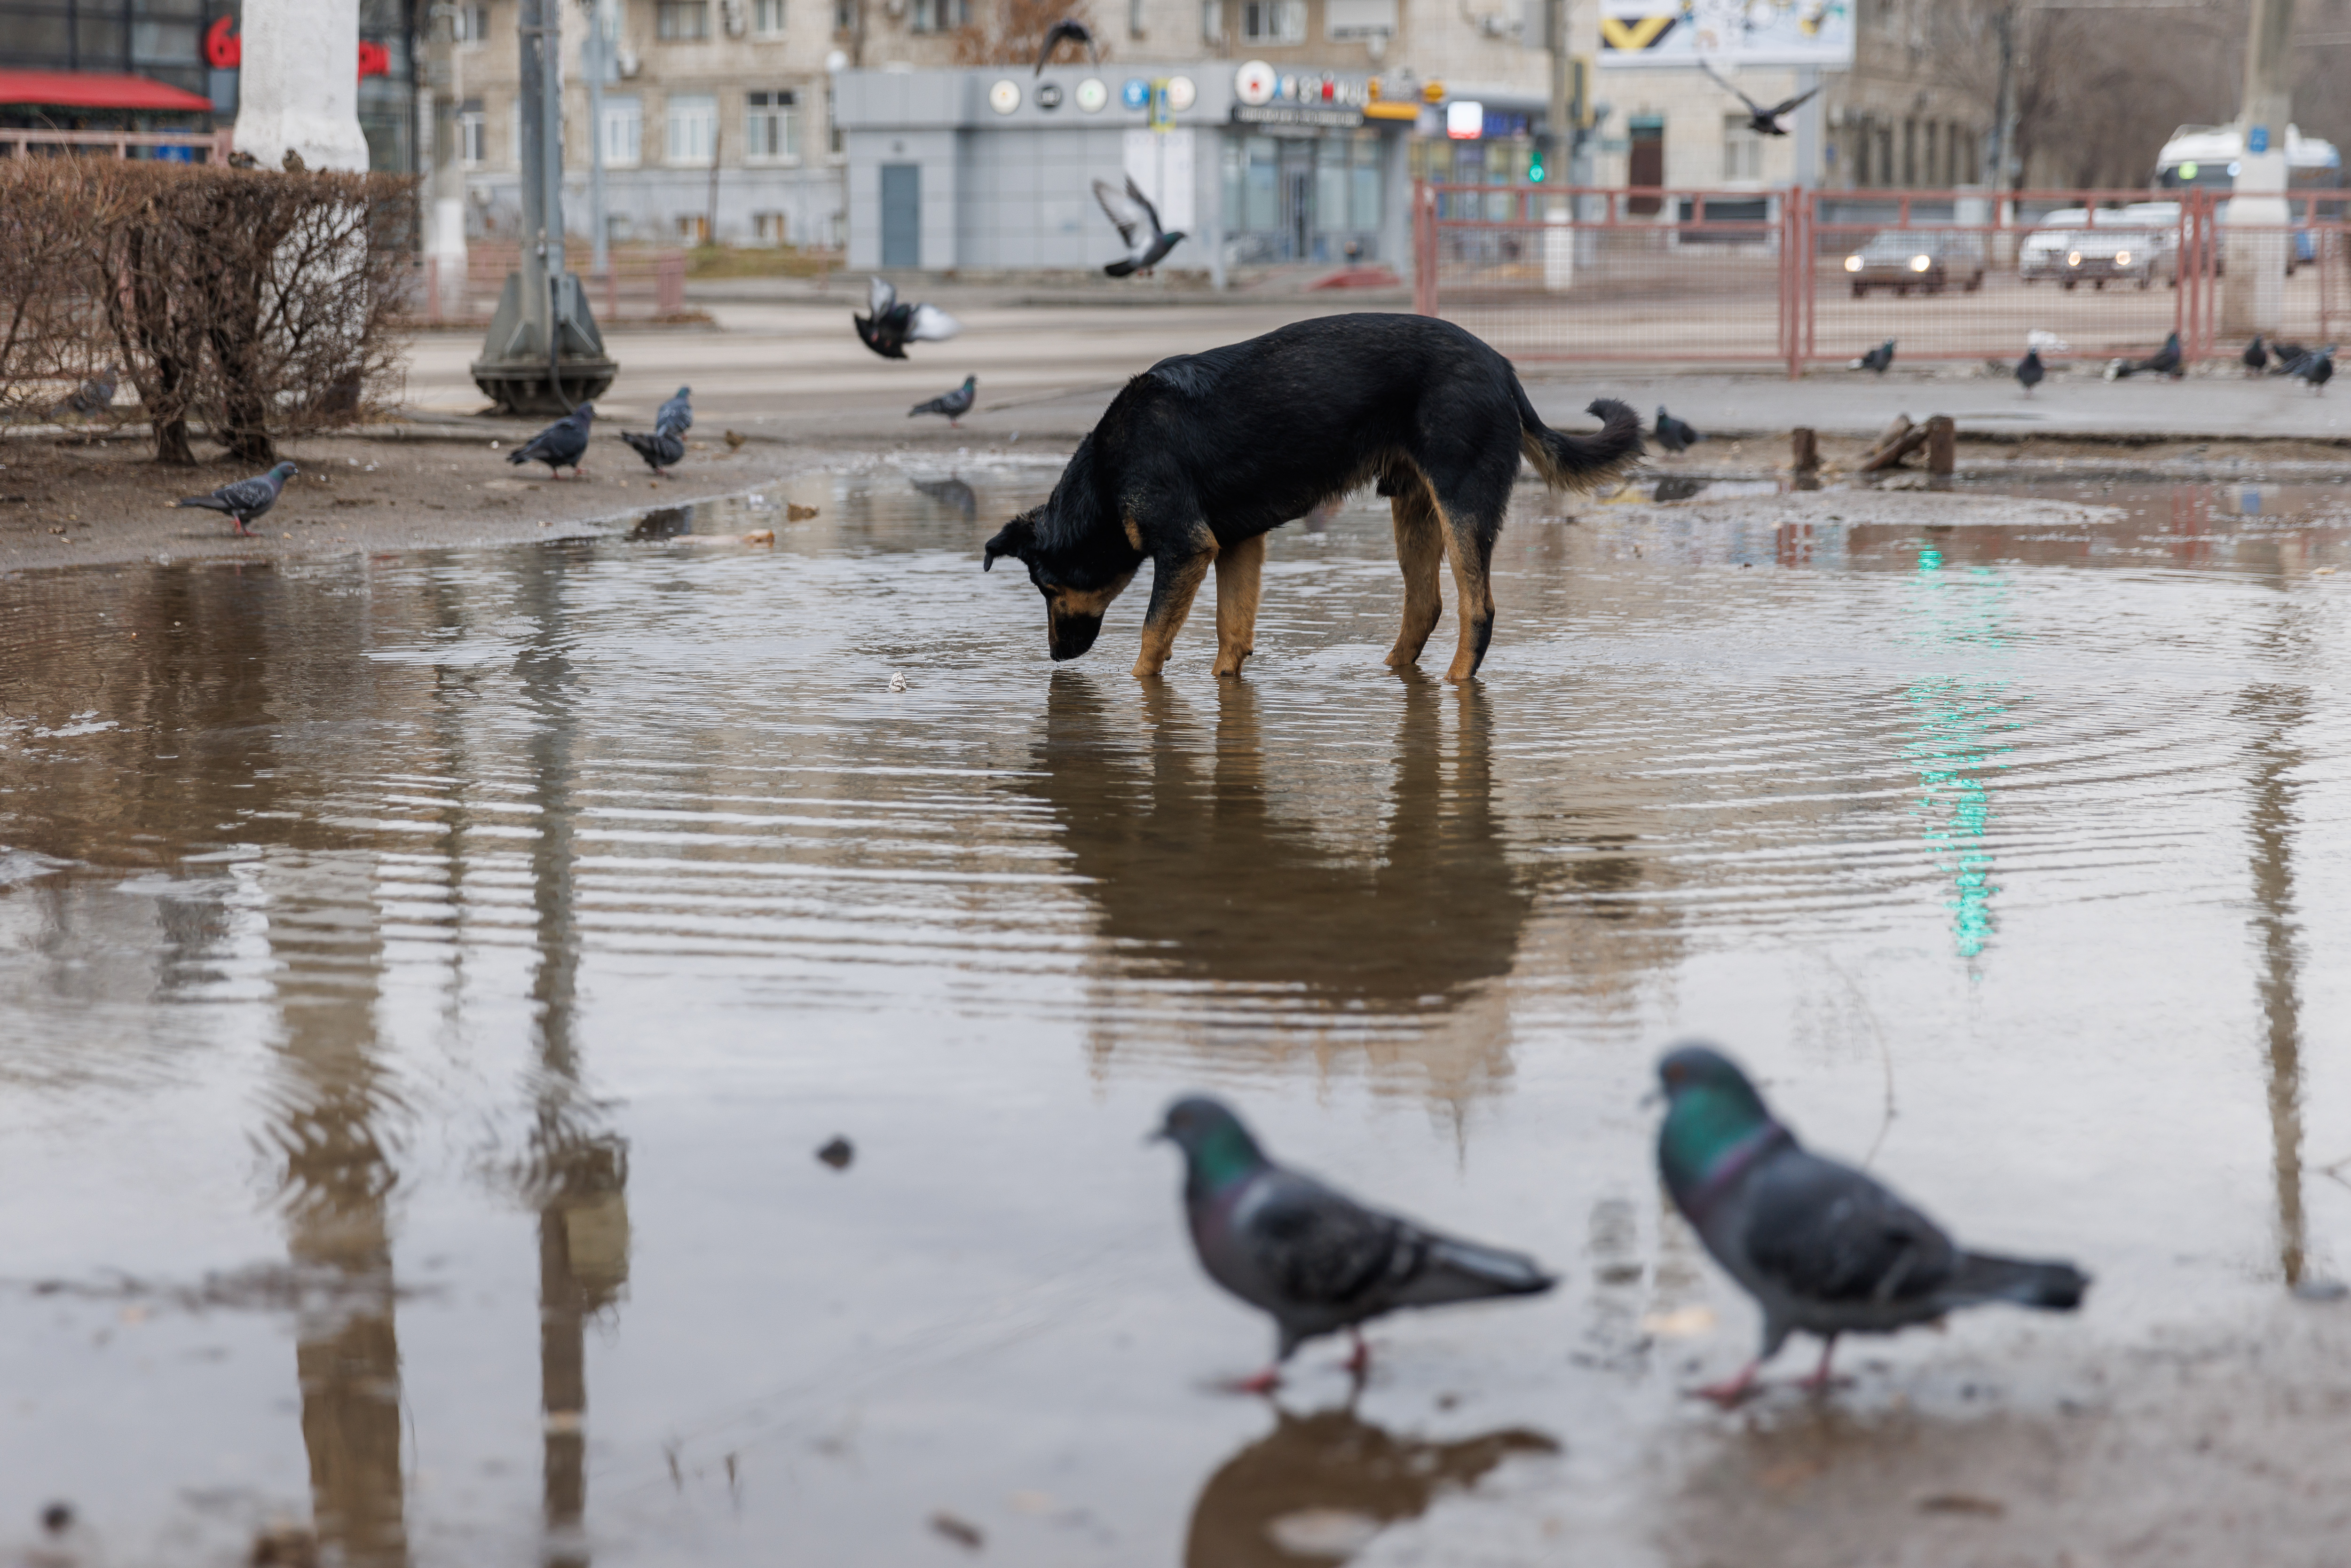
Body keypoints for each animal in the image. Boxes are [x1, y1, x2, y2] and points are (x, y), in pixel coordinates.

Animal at [987, 313, 1636, 682]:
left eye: (1046, 588)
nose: (1054, 659)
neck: (1107, 473)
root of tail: (1504, 368)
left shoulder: (1185, 548)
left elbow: (1150, 640)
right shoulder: (1236, 545)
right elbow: (1231, 633)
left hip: (1462, 504)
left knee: (1477, 610)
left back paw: (1455, 682)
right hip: (1414, 509)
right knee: (1424, 605)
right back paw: (1391, 672)